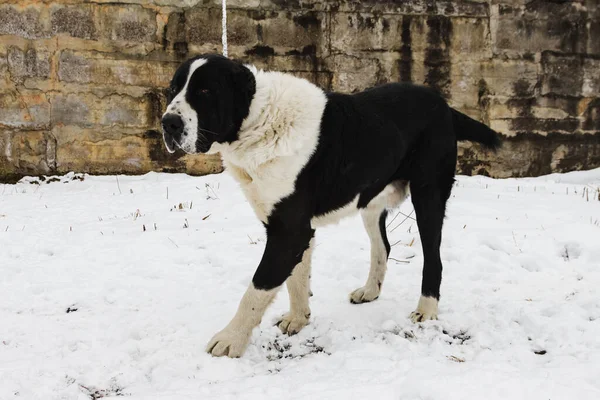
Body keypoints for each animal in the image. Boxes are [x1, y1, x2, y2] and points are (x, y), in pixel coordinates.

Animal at [162, 54, 500, 358]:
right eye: (173, 90)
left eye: (205, 91)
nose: (169, 123)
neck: (258, 123)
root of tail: (443, 104)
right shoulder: (295, 228)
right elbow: (296, 279)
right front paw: (298, 319)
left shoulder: (289, 231)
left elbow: (257, 289)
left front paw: (230, 339)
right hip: (371, 202)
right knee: (383, 246)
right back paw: (370, 291)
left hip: (428, 194)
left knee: (433, 258)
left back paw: (426, 310)